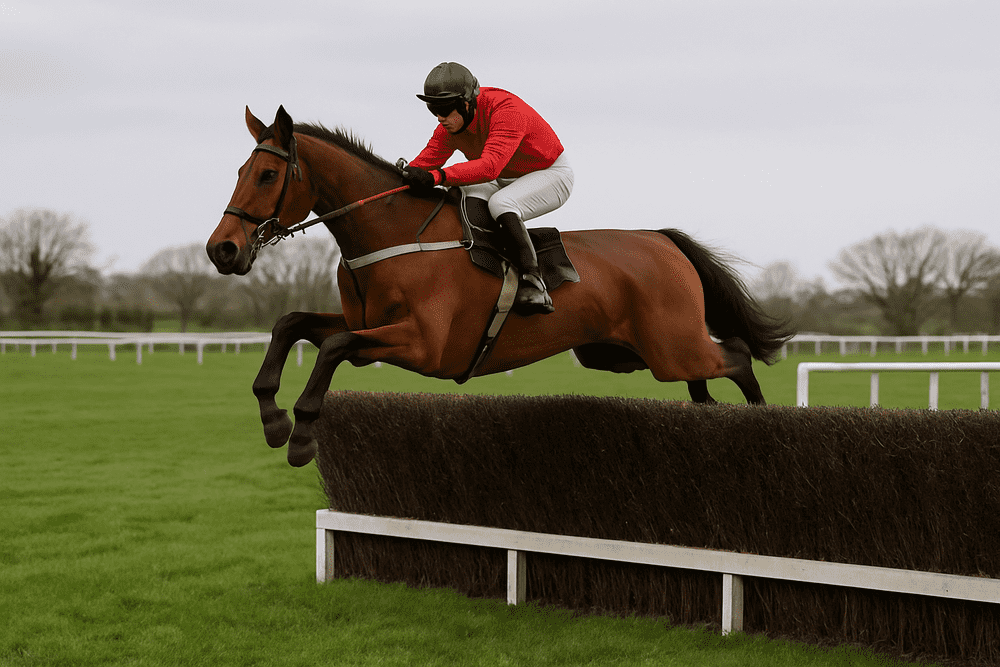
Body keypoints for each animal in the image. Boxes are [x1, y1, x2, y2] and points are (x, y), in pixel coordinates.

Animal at [207, 106, 794, 467]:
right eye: (238, 171)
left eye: (266, 175)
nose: (222, 250)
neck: (394, 233)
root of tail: (662, 240)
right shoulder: (368, 326)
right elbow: (293, 325)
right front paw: (272, 417)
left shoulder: (424, 344)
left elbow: (330, 346)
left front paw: (302, 433)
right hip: (624, 353)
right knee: (705, 381)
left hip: (672, 346)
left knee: (737, 356)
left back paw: (763, 425)